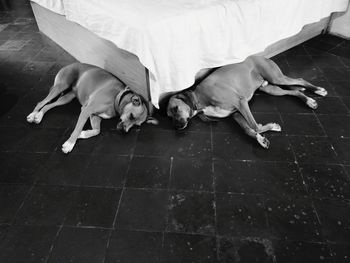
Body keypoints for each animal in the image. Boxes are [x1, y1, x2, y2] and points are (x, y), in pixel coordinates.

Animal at [27, 63, 157, 155]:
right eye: (131, 116)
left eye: (136, 125)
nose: (124, 131)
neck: (116, 98)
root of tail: (69, 65)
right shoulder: (86, 110)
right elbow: (78, 128)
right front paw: (70, 144)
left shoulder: (95, 116)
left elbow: (96, 131)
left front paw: (82, 134)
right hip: (61, 86)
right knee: (41, 102)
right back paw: (32, 115)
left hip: (67, 98)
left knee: (48, 105)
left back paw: (38, 116)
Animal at [166, 55, 326, 148]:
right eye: (169, 117)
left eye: (175, 108)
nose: (176, 126)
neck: (200, 99)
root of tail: (260, 55)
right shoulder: (235, 114)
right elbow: (247, 129)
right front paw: (261, 139)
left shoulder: (241, 102)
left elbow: (254, 126)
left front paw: (269, 127)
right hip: (272, 89)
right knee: (294, 91)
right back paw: (308, 100)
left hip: (276, 78)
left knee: (300, 80)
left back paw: (318, 90)